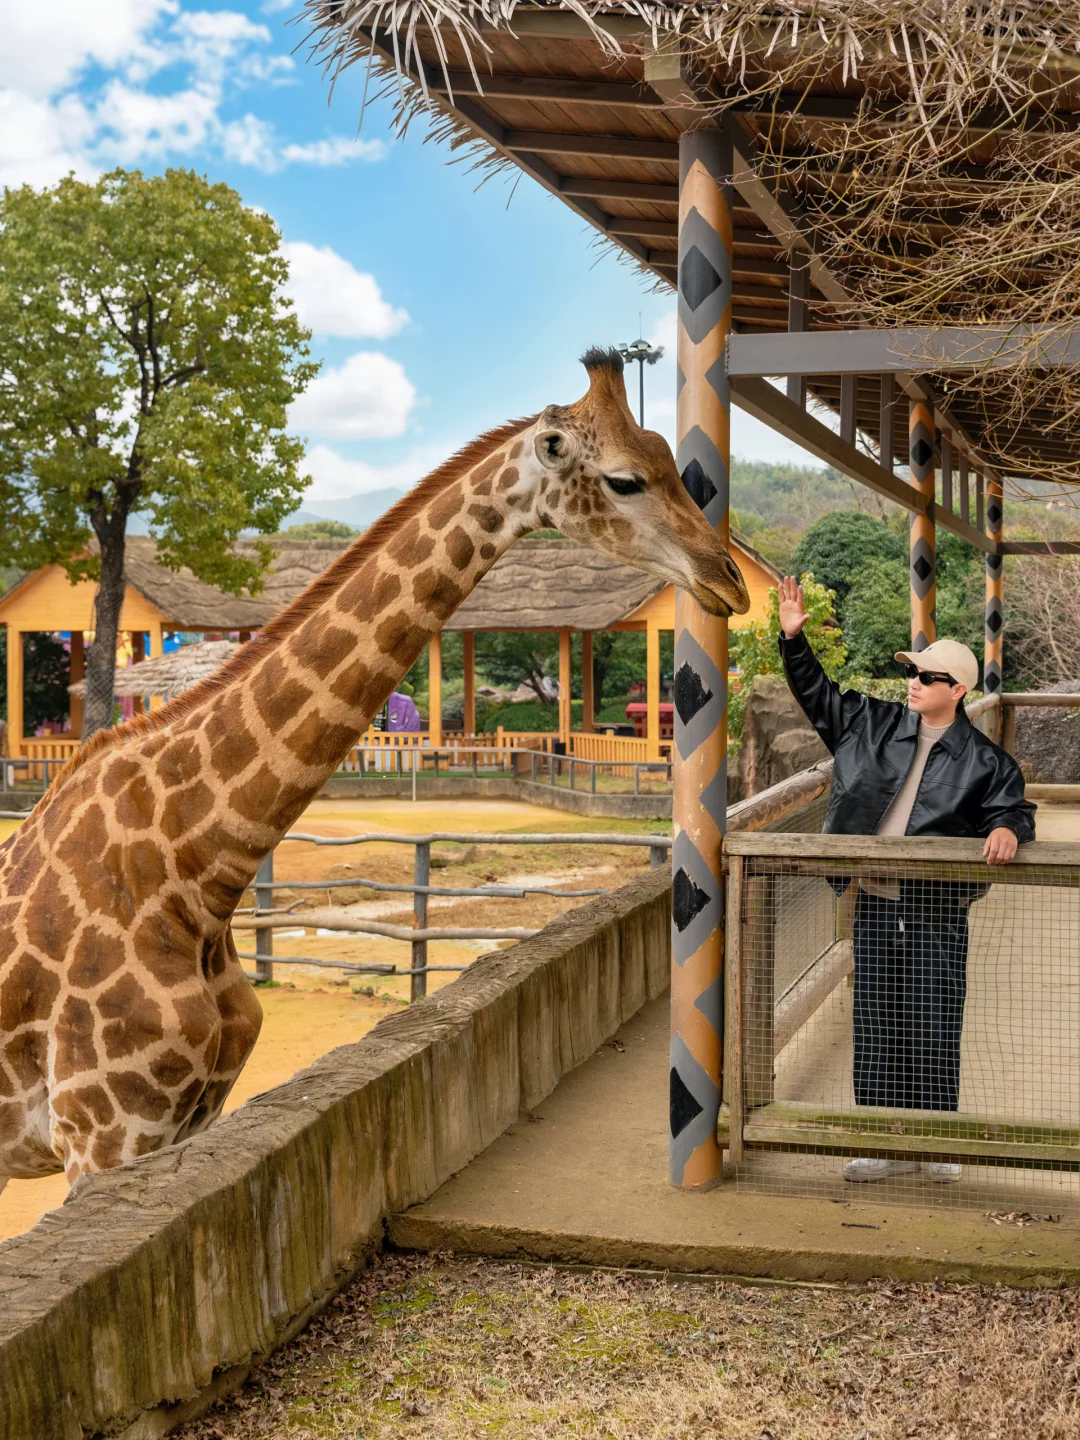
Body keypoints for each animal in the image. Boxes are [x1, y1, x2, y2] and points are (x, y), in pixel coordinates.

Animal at [0, 348, 750, 1191]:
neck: (194, 867)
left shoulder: (184, 1122)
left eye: (671, 464)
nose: (729, 579)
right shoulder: (103, 1132)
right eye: (625, 479)